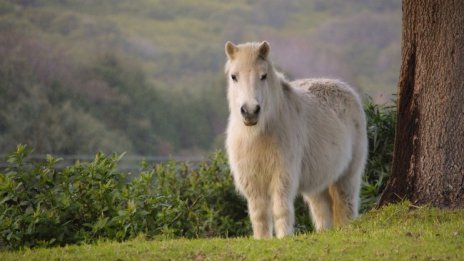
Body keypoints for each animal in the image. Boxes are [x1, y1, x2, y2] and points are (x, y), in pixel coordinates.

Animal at [223, 40, 368, 238]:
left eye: (263, 76)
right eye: (234, 76)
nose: (250, 111)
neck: (258, 134)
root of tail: (347, 89)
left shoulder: (282, 175)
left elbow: (280, 210)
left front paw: (284, 237)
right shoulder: (252, 181)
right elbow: (259, 215)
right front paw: (262, 240)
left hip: (347, 176)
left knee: (346, 205)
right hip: (318, 184)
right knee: (322, 211)